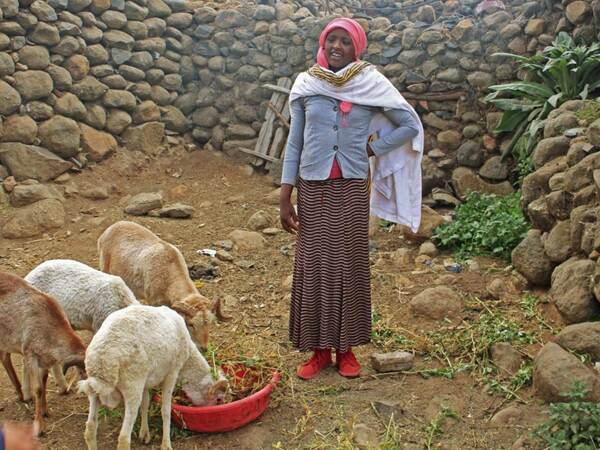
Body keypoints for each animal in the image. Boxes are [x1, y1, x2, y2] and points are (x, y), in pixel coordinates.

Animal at [0, 272, 86, 434]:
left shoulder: (46, 360)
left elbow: (44, 381)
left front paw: (45, 411)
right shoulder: (30, 356)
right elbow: (38, 388)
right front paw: (39, 427)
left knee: (5, 358)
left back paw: (21, 395)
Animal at [78, 302, 229, 450]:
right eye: (218, 399)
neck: (188, 358)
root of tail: (102, 361)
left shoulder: (146, 381)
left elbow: (145, 403)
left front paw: (145, 434)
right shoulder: (172, 373)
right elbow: (166, 410)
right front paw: (166, 445)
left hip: (94, 391)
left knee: (90, 429)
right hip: (132, 387)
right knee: (123, 439)